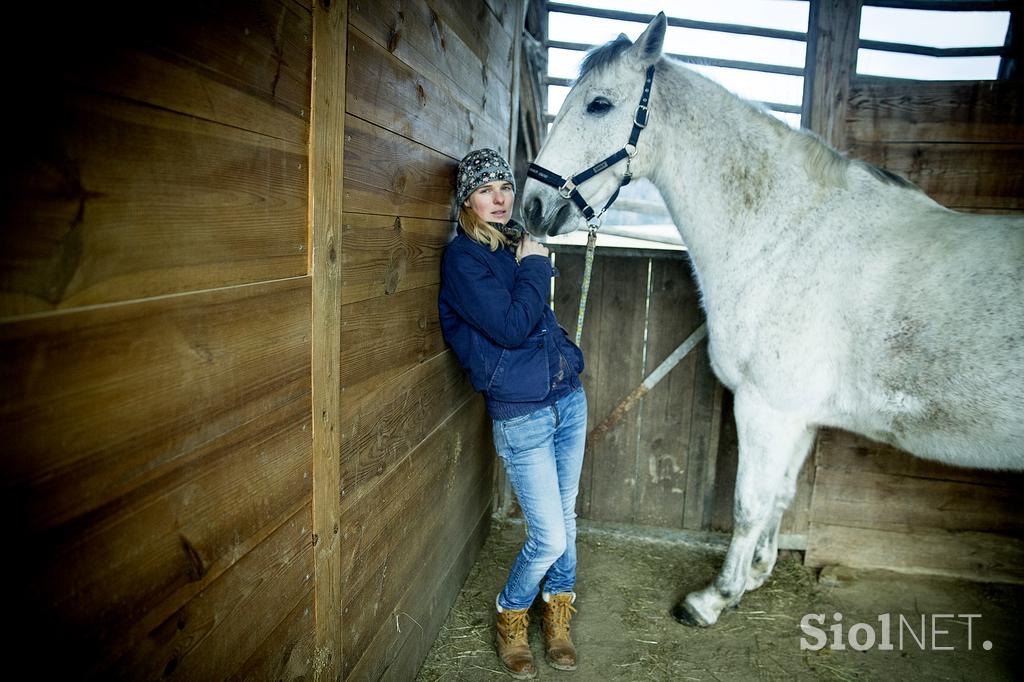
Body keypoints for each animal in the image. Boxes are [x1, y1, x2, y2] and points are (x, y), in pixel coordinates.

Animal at [524, 11, 1019, 626]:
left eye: (597, 104)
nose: (532, 206)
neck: (791, 233)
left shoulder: (768, 407)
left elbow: (749, 503)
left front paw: (713, 598)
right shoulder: (800, 416)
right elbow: (779, 496)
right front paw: (756, 574)